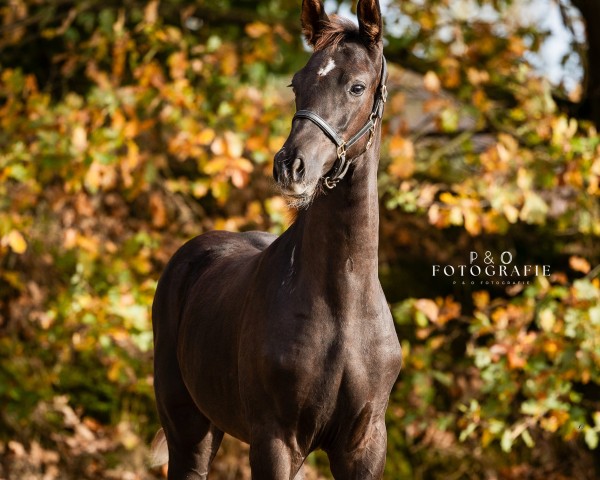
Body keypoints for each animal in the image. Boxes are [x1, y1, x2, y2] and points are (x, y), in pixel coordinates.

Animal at [151, 0, 404, 476]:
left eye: (357, 86)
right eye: (297, 82)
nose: (291, 166)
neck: (343, 306)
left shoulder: (364, 446)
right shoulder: (275, 440)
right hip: (188, 429)